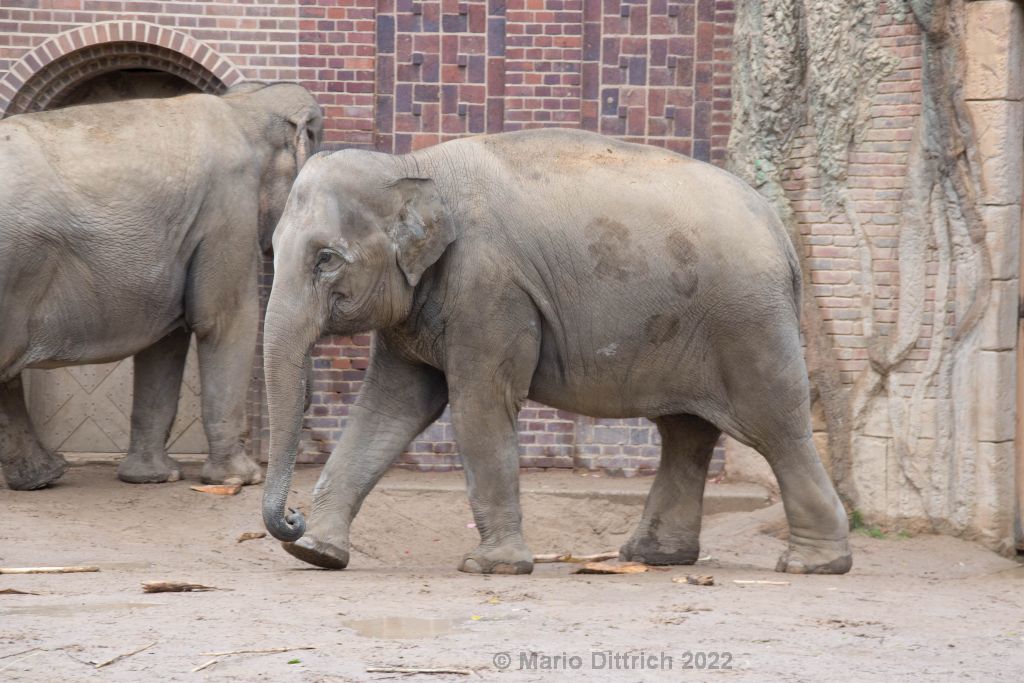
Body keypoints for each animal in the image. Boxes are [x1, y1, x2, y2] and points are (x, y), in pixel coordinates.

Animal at [0, 81, 321, 491]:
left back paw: (43, 478)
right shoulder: (229, 210)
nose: (309, 400)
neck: (243, 107)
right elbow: (225, 321)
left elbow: (164, 341)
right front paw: (241, 478)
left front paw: (152, 478)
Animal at [260, 129, 851, 577]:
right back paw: (653, 556)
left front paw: (493, 567)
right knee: (686, 434)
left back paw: (814, 564)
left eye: (326, 260)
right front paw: (316, 554)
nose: (292, 517)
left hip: (749, 323)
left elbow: (479, 406)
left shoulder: (490, 288)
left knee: (775, 428)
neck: (412, 165)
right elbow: (389, 409)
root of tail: (781, 233)